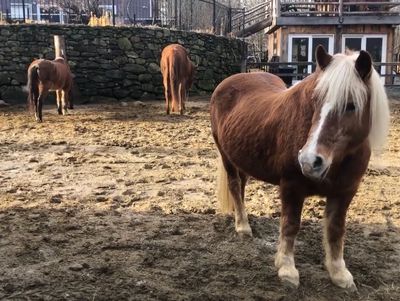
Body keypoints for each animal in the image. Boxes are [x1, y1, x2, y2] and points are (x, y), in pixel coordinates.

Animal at [211, 45, 390, 288]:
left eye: (351, 106)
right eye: (315, 101)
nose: (308, 161)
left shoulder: (345, 192)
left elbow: (336, 229)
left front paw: (339, 272)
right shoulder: (291, 186)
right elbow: (291, 225)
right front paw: (287, 269)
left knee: (241, 186)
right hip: (226, 156)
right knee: (234, 185)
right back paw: (243, 226)